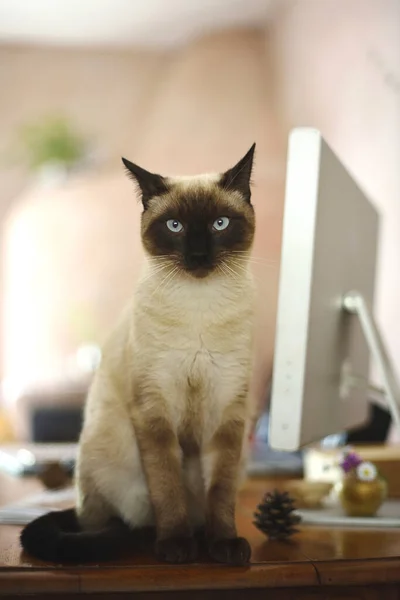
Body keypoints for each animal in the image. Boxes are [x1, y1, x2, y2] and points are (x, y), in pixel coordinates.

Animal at [21, 143, 258, 564]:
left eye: (220, 224)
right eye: (175, 226)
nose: (198, 256)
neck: (199, 310)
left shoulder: (227, 411)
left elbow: (221, 491)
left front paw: (224, 546)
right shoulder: (153, 411)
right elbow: (166, 486)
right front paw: (177, 546)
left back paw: (199, 534)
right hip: (110, 443)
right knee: (107, 522)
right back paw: (151, 537)